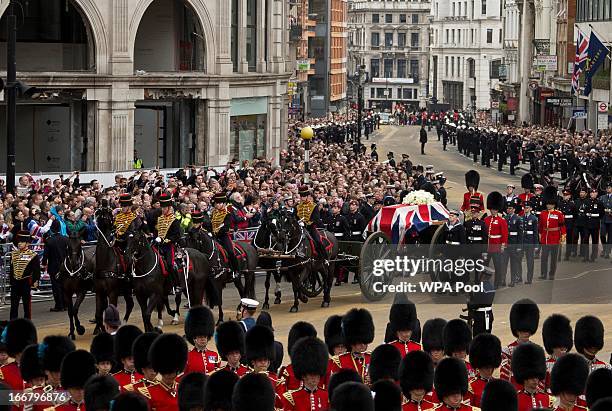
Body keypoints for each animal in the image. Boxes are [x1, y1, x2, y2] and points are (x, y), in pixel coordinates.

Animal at [92, 206, 134, 334]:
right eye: (100, 211)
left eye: (110, 213)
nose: (104, 203)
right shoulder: (99, 292)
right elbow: (98, 315)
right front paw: (100, 329)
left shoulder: (112, 292)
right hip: (126, 289)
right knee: (130, 304)